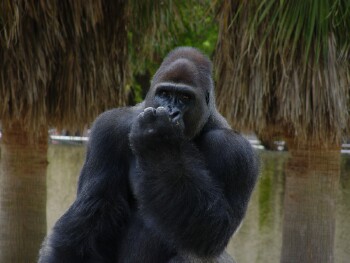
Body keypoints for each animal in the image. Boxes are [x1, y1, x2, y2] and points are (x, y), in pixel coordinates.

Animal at [39, 46, 260, 262]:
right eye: (164, 92)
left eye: (185, 97)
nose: (170, 111)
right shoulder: (109, 129)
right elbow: (92, 214)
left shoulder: (236, 152)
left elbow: (214, 229)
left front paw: (159, 141)